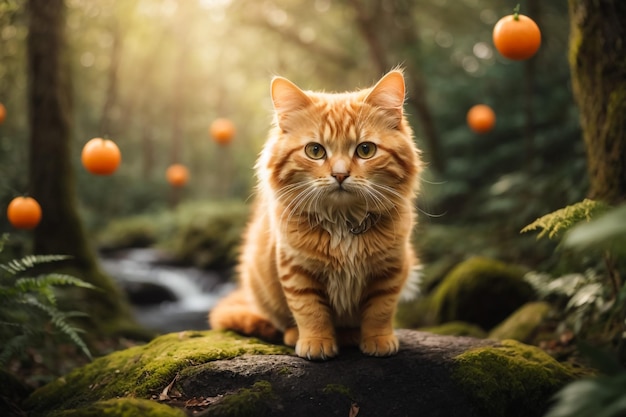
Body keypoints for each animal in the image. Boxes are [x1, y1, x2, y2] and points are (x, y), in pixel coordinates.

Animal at [208, 70, 420, 360]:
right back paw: (296, 335)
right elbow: (310, 311)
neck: (344, 222)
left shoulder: (391, 268)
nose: (340, 174)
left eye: (365, 150)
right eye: (315, 151)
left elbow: (380, 310)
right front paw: (316, 342)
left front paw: (378, 340)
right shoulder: (296, 270)